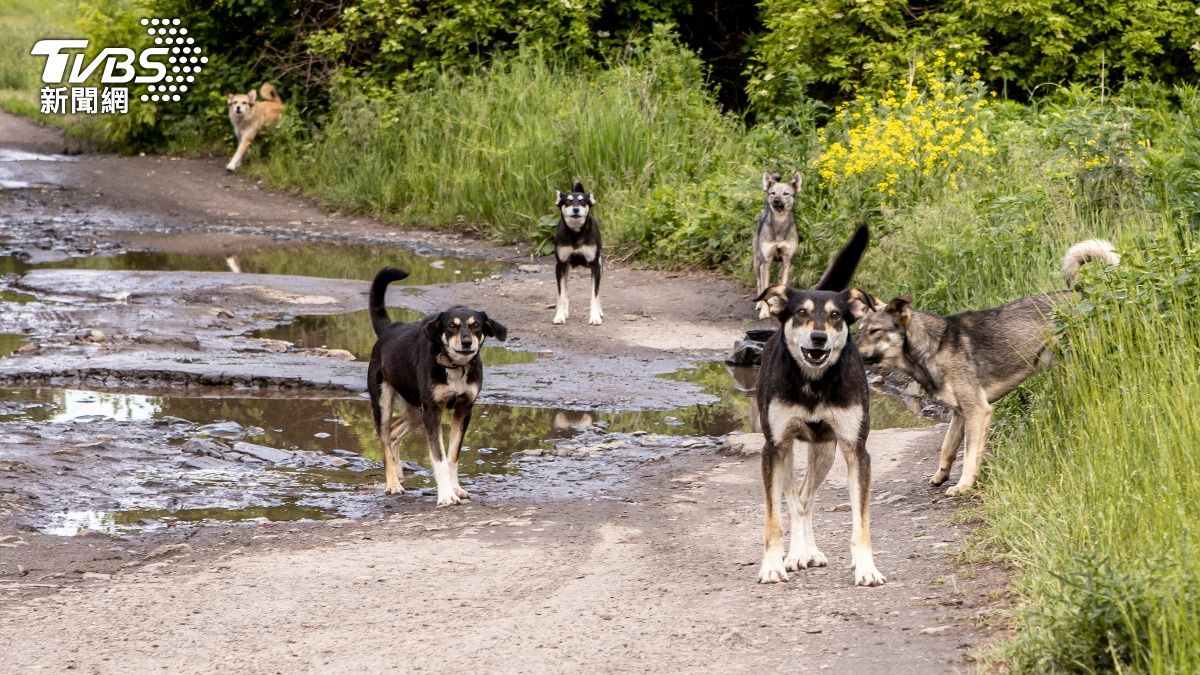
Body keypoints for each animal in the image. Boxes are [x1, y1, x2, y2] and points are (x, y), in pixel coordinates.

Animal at [369, 266, 511, 504]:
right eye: (451, 326)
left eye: (476, 326)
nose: (466, 342)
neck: (455, 366)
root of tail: (390, 328)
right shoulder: (433, 411)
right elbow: (439, 458)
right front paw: (445, 495)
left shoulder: (464, 409)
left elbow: (452, 456)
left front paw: (455, 488)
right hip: (384, 403)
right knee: (384, 440)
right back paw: (393, 483)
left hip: (416, 412)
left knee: (394, 435)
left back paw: (399, 473)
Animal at [554, 180, 604, 324]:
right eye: (568, 201)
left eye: (582, 202)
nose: (576, 209)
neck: (576, 233)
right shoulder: (560, 266)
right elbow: (561, 295)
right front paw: (559, 315)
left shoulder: (595, 266)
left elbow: (594, 294)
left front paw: (595, 316)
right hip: (565, 269)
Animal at [753, 170, 801, 317]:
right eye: (773, 193)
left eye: (786, 193)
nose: (776, 201)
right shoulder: (766, 263)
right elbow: (764, 288)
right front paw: (764, 311)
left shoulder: (787, 262)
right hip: (757, 262)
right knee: (759, 283)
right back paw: (759, 304)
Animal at [753, 222, 888, 583]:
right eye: (801, 313)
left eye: (836, 316)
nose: (818, 337)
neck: (814, 383)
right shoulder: (774, 448)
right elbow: (774, 518)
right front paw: (772, 565)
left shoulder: (856, 449)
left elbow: (861, 522)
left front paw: (866, 568)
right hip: (785, 451)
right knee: (795, 499)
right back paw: (797, 554)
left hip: (825, 450)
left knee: (805, 496)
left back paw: (807, 551)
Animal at [859, 237, 1118, 494]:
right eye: (861, 330)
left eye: (875, 331)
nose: (852, 353)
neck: (934, 345)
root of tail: (1088, 296)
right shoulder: (959, 414)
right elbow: (947, 448)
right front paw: (940, 475)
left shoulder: (977, 411)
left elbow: (970, 453)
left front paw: (964, 485)